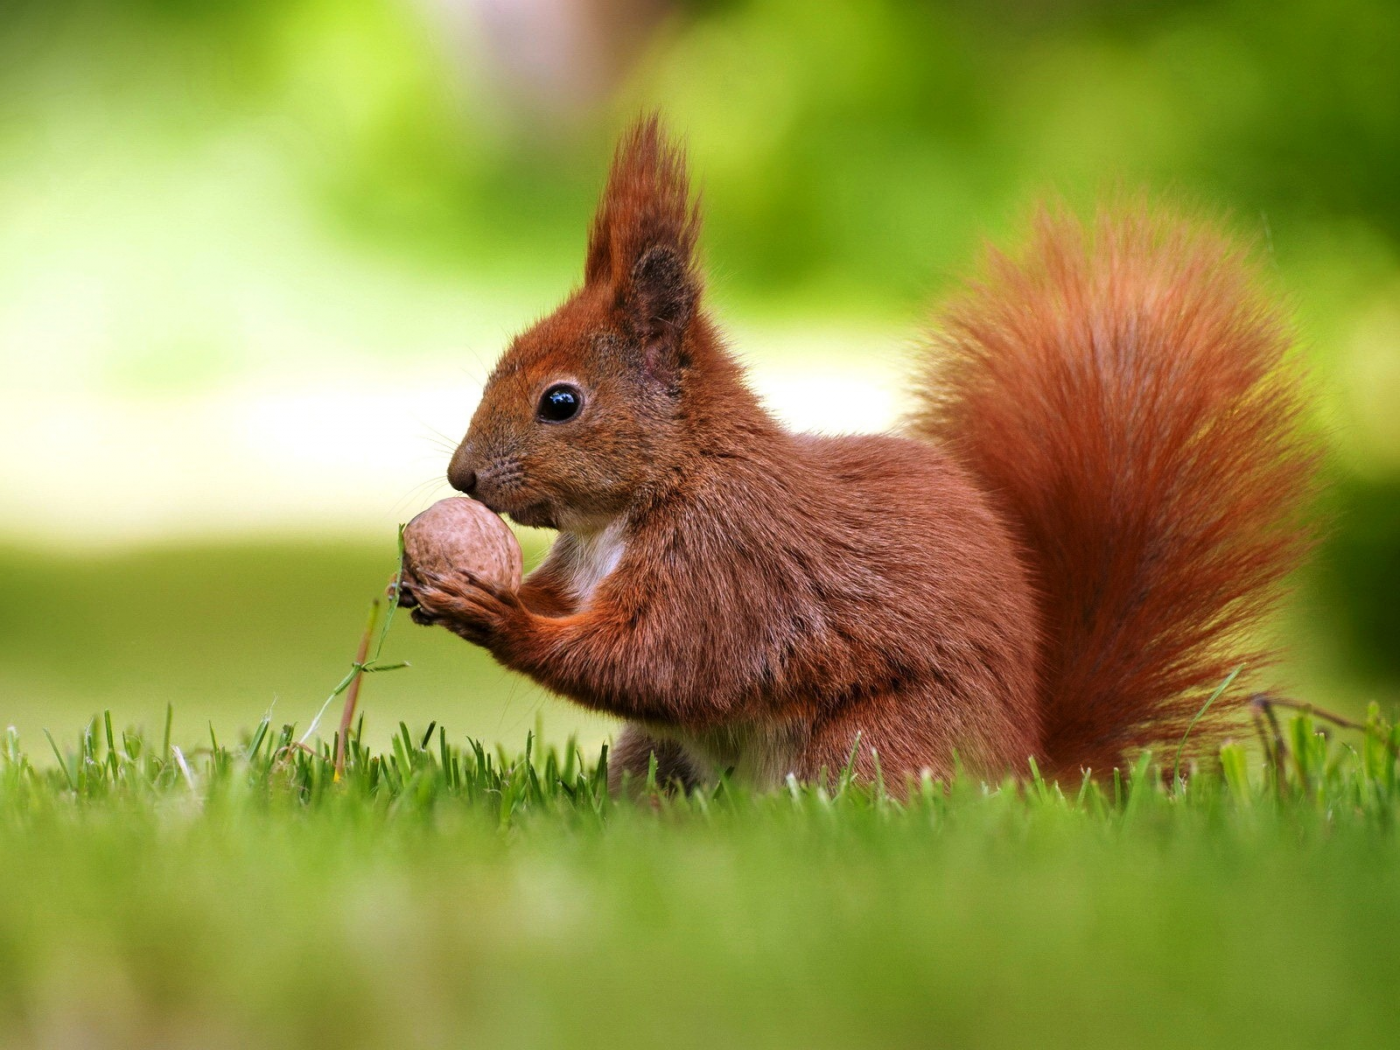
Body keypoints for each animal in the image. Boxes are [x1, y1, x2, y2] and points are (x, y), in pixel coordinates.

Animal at [400, 116, 1316, 789]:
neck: (634, 507)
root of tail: (1027, 771)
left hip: (872, 742)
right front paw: (432, 586)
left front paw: (500, 617)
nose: (460, 476)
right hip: (655, 756)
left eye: (561, 403)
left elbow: (657, 662)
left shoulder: (732, 565)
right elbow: (579, 616)